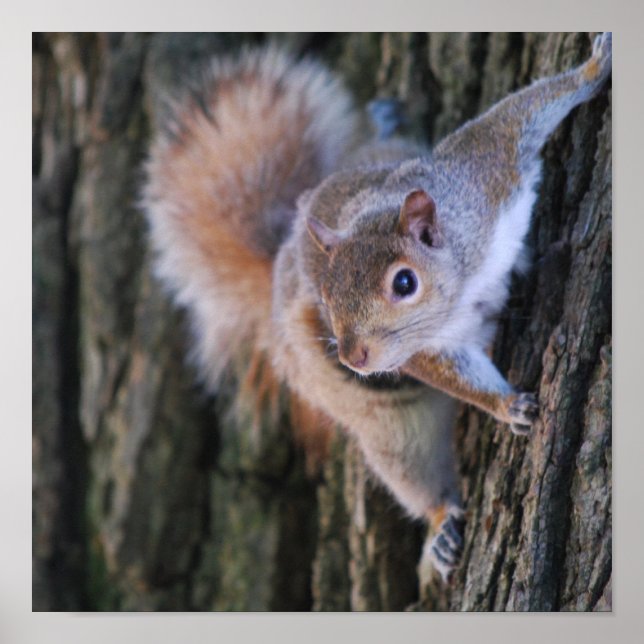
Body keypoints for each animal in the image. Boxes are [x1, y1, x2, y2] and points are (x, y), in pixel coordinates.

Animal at [143, 34, 612, 582]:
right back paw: (441, 528)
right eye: (326, 298)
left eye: (405, 282)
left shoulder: (486, 176)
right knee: (415, 474)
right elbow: (453, 372)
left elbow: (522, 115)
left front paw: (593, 69)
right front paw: (507, 404)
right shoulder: (422, 348)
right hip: (387, 429)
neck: (462, 285)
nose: (354, 358)